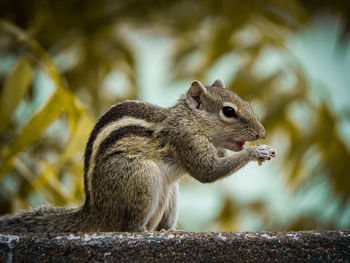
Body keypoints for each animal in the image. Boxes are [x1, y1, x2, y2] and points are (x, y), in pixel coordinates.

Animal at [0, 78, 276, 233]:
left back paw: (170, 231)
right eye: (229, 112)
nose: (261, 133)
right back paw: (145, 232)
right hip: (142, 176)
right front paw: (257, 151)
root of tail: (96, 211)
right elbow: (206, 171)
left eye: (248, 105)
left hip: (170, 192)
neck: (190, 119)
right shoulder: (185, 138)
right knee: (129, 227)